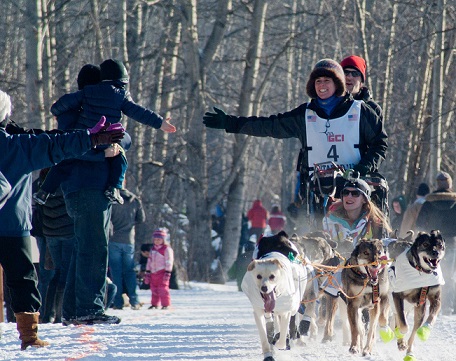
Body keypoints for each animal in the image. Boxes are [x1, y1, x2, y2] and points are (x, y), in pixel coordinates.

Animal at [242, 231, 306, 360]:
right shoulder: (260, 312)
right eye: (280, 246)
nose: (296, 253)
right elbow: (266, 334)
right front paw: (268, 353)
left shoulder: (285, 310)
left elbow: (283, 333)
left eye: (288, 243)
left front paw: (282, 341)